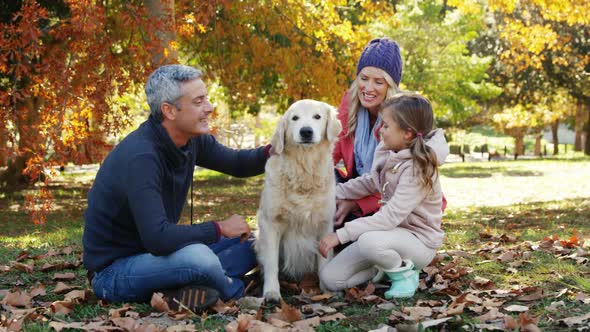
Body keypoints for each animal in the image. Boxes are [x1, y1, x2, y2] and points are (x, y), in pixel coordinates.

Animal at [254, 98, 342, 300]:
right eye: (294, 118)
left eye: (317, 116)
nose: (306, 131)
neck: (304, 168)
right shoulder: (270, 222)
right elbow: (271, 263)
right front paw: (271, 291)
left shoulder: (324, 223)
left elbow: (324, 260)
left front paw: (326, 290)